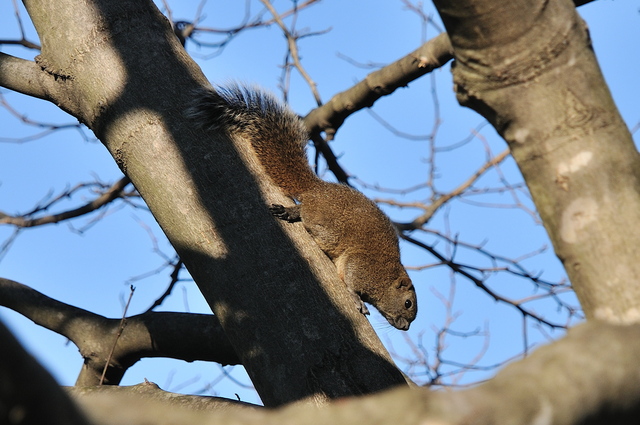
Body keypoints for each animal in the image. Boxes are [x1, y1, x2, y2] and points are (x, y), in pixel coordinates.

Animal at [189, 85, 420, 332]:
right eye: (407, 303)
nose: (405, 327)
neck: (387, 275)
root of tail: (316, 188)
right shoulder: (364, 267)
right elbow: (351, 281)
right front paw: (357, 299)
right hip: (328, 226)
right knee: (308, 215)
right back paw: (293, 212)